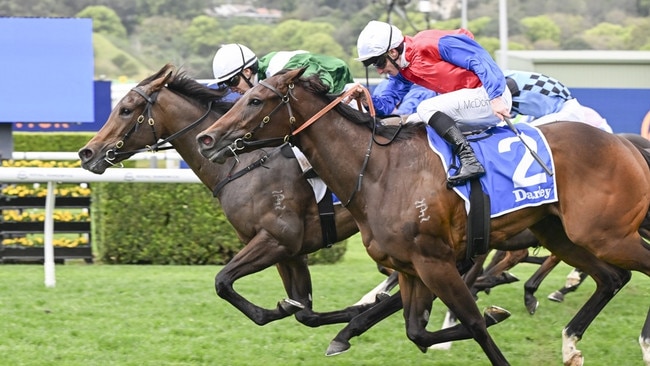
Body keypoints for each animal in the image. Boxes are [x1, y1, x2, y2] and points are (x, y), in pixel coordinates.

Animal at [194, 68, 650, 364]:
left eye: (255, 99)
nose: (207, 138)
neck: (379, 171)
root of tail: (623, 144)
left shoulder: (435, 261)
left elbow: (473, 324)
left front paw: (489, 313)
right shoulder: (410, 267)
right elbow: (416, 331)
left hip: (606, 234)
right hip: (563, 233)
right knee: (611, 277)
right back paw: (570, 342)